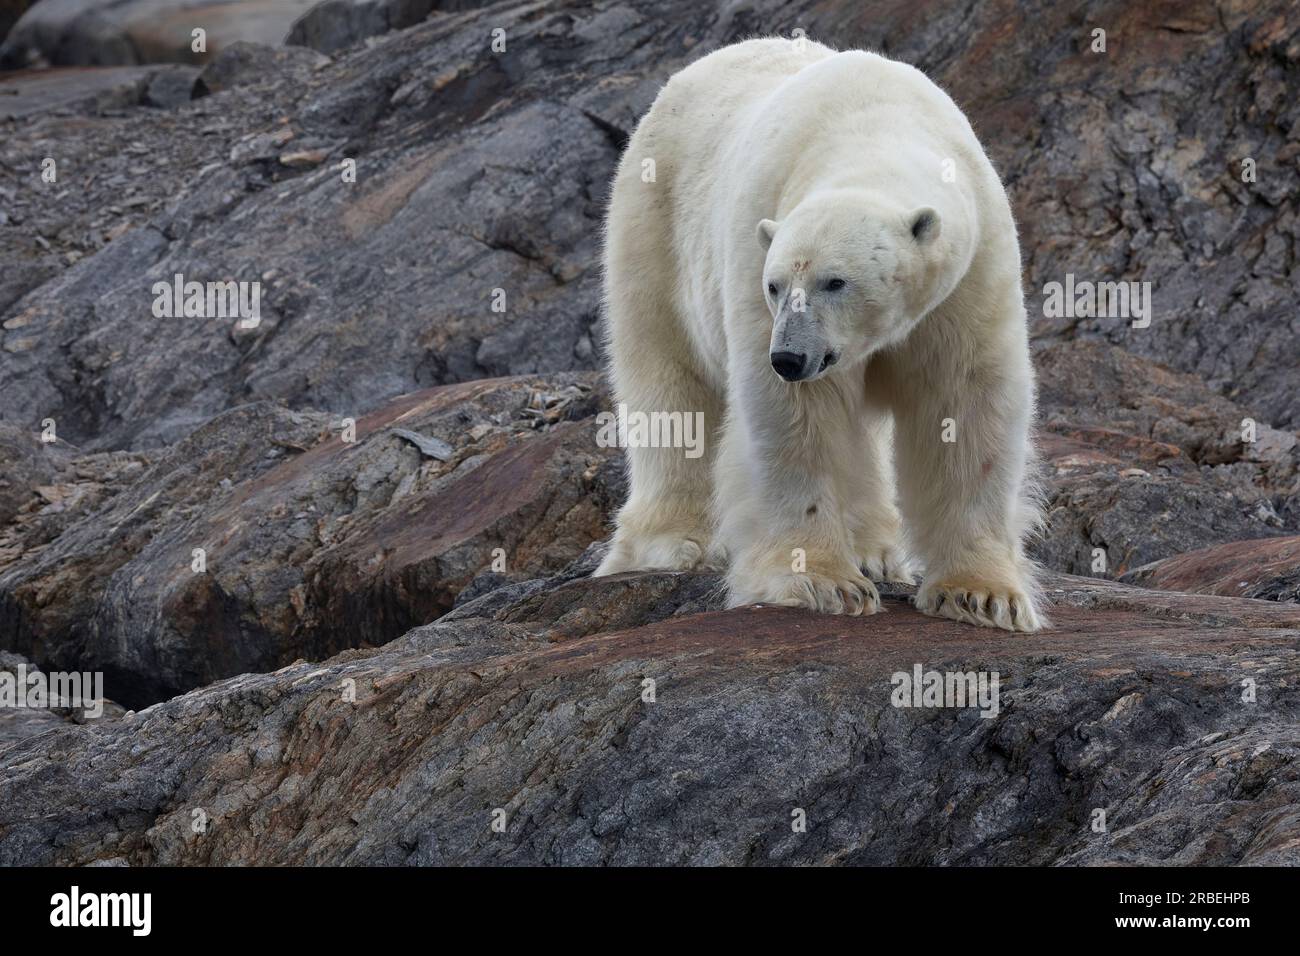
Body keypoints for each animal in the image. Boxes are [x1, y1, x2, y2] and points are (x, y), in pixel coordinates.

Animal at [595, 37, 1040, 632]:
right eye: (776, 285)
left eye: (836, 281)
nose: (788, 357)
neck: (873, 129)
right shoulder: (755, 245)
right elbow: (796, 419)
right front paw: (822, 582)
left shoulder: (971, 275)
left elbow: (965, 404)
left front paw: (984, 595)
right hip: (654, 227)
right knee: (668, 382)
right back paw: (671, 543)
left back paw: (877, 550)